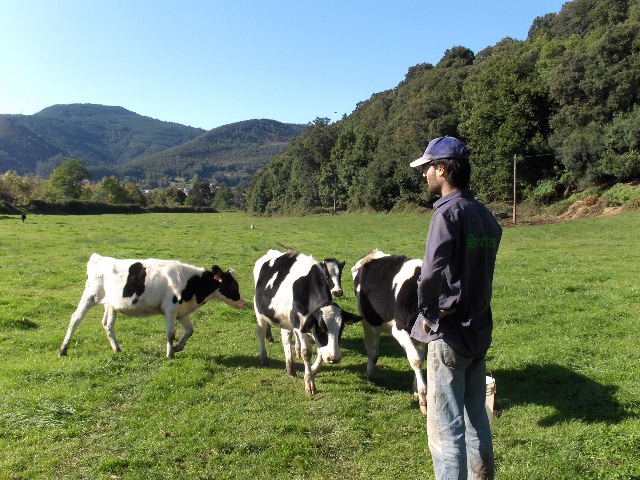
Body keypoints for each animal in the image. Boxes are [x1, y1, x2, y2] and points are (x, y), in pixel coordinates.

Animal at [60, 253, 246, 358]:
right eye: (233, 286)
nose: (243, 303)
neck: (190, 283)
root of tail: (98, 258)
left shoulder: (182, 312)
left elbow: (189, 330)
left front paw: (178, 348)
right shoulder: (170, 310)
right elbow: (171, 334)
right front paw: (170, 354)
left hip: (111, 305)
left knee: (108, 325)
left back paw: (117, 349)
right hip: (90, 297)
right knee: (75, 319)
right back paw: (63, 349)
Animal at [254, 251, 358, 394]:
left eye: (341, 328)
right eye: (321, 328)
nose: (334, 358)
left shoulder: (308, 327)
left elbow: (320, 350)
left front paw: (313, 368)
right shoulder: (301, 325)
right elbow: (307, 352)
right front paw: (309, 382)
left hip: (285, 318)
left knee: (286, 339)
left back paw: (290, 367)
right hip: (259, 312)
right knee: (260, 331)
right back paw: (264, 357)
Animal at [348, 249, 428, 414]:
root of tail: (373, 253)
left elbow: (420, 359)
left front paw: (416, 389)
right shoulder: (400, 330)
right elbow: (416, 360)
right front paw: (423, 399)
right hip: (366, 318)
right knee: (371, 348)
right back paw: (371, 374)